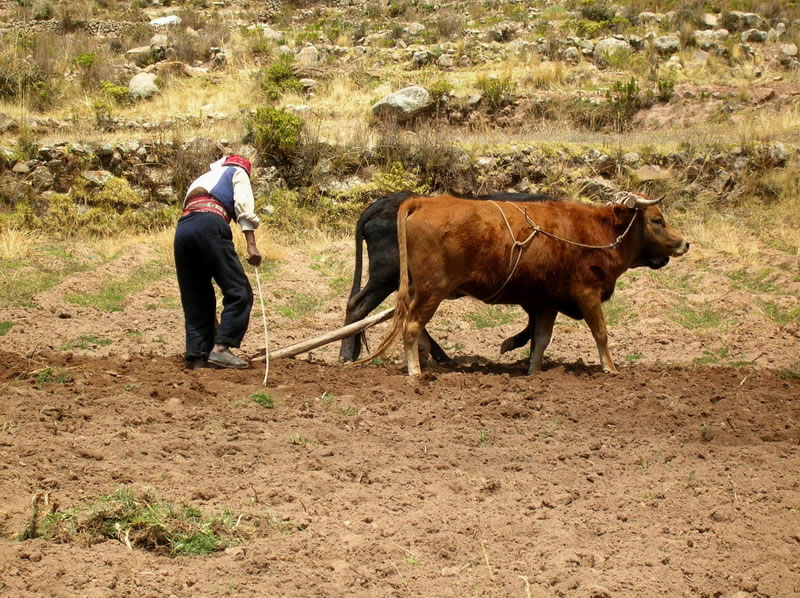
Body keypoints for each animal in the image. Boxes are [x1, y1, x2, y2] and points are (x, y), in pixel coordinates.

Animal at [339, 191, 556, 363]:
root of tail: (386, 201)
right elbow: (535, 325)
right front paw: (512, 345)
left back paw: (440, 356)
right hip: (385, 275)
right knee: (357, 305)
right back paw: (346, 355)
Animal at [360, 192, 689, 375]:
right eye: (657, 220)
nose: (685, 243)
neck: (600, 232)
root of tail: (423, 202)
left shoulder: (547, 303)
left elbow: (540, 340)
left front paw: (533, 371)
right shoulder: (587, 293)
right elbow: (601, 333)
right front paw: (611, 368)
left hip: (420, 289)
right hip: (432, 290)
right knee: (411, 326)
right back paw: (415, 372)